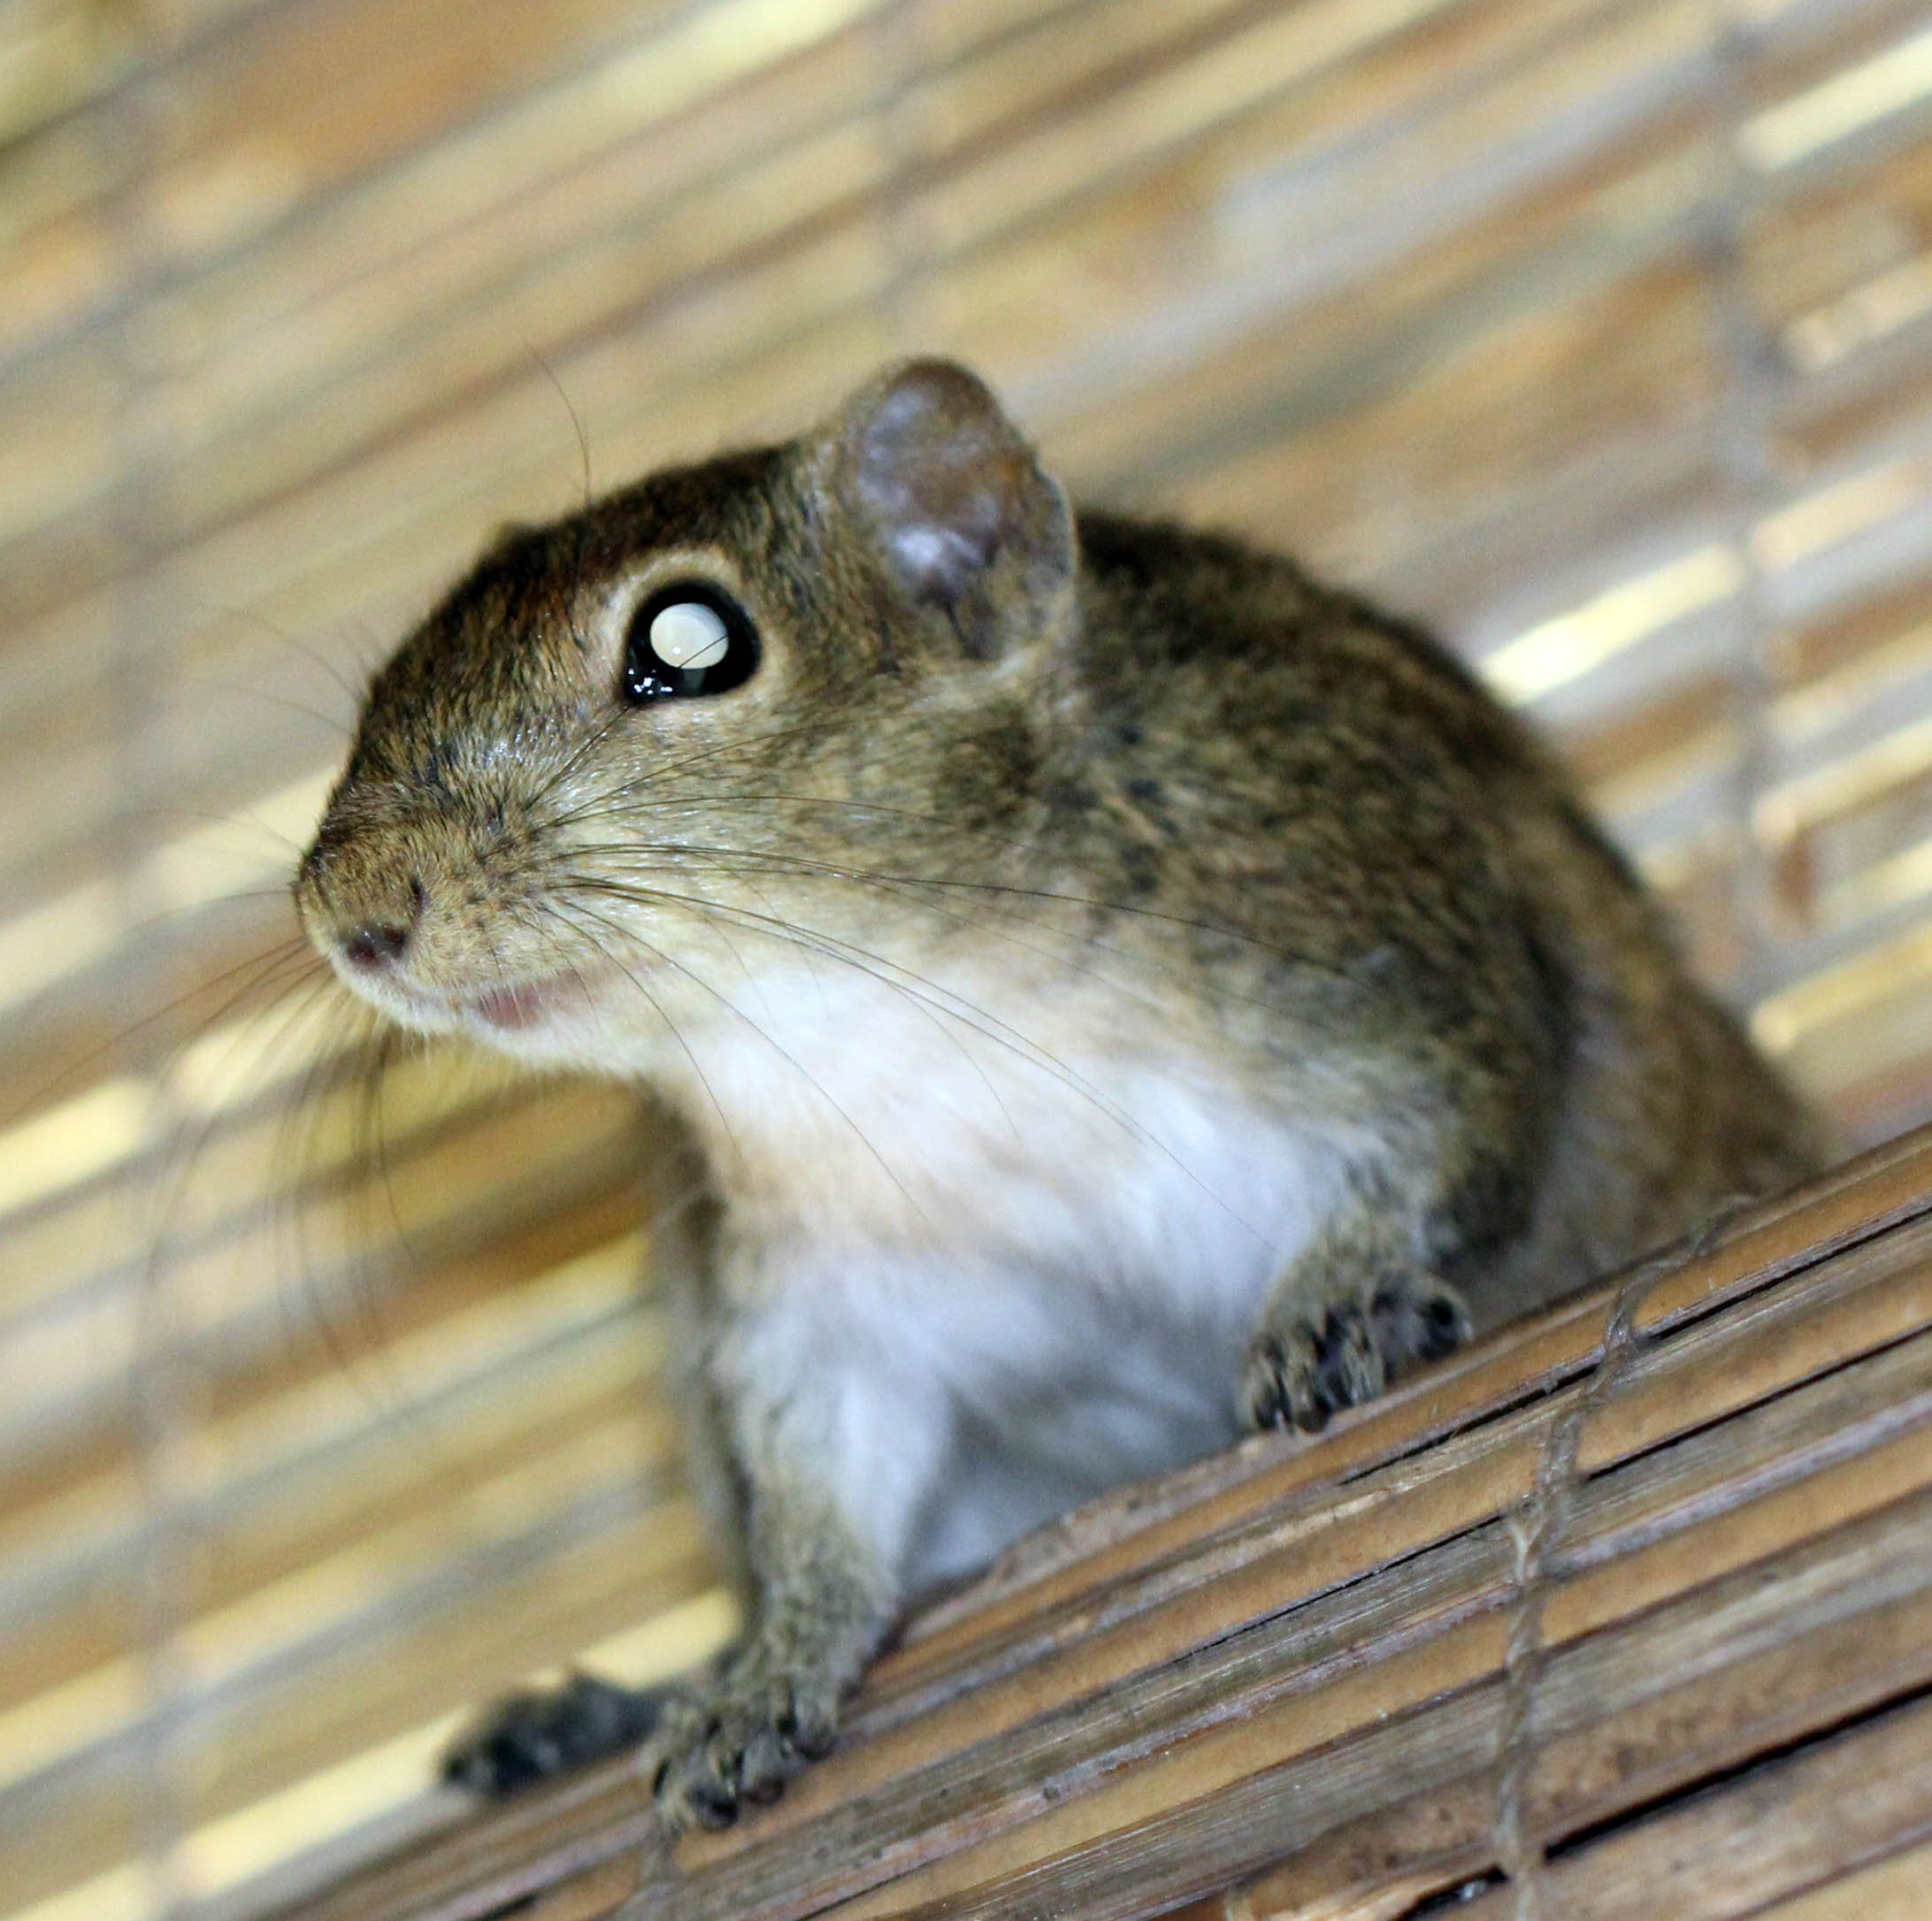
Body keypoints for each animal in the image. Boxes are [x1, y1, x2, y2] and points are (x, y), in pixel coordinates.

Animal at [294, 357, 1827, 1832]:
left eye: (688, 643)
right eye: (394, 665)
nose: (352, 908)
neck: (892, 1007)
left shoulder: (1388, 943)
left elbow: (1450, 1146)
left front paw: (1342, 1300)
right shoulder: (820, 1289)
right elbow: (823, 1486)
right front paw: (767, 1673)